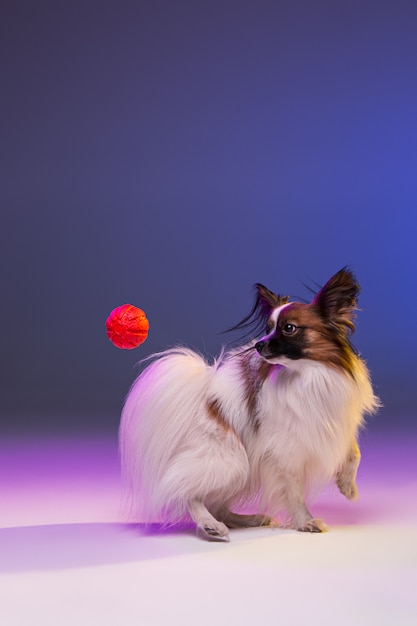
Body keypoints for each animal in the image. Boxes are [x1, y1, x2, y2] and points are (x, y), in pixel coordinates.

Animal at [118, 266, 378, 540]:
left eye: (289, 328)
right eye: (268, 328)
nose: (258, 345)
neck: (308, 374)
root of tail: (199, 398)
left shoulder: (334, 424)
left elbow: (354, 452)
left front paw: (348, 487)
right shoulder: (287, 450)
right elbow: (294, 489)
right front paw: (305, 521)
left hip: (243, 469)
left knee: (219, 506)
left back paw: (250, 519)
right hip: (231, 460)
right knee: (185, 490)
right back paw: (210, 525)